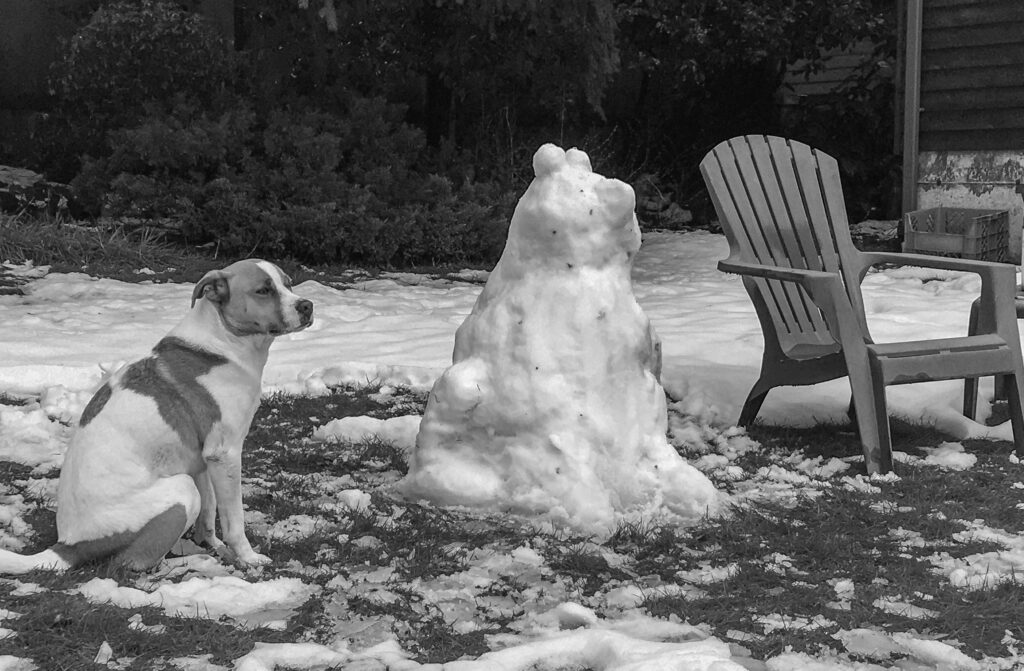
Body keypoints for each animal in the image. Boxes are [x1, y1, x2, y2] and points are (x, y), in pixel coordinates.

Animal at [0, 260, 311, 573]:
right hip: (181, 491)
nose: (307, 306)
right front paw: (247, 557)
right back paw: (192, 562)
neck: (221, 342)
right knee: (132, 563)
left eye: (288, 283)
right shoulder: (225, 454)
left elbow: (209, 513)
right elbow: (234, 520)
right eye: (263, 290)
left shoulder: (202, 460)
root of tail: (67, 546)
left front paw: (213, 544)